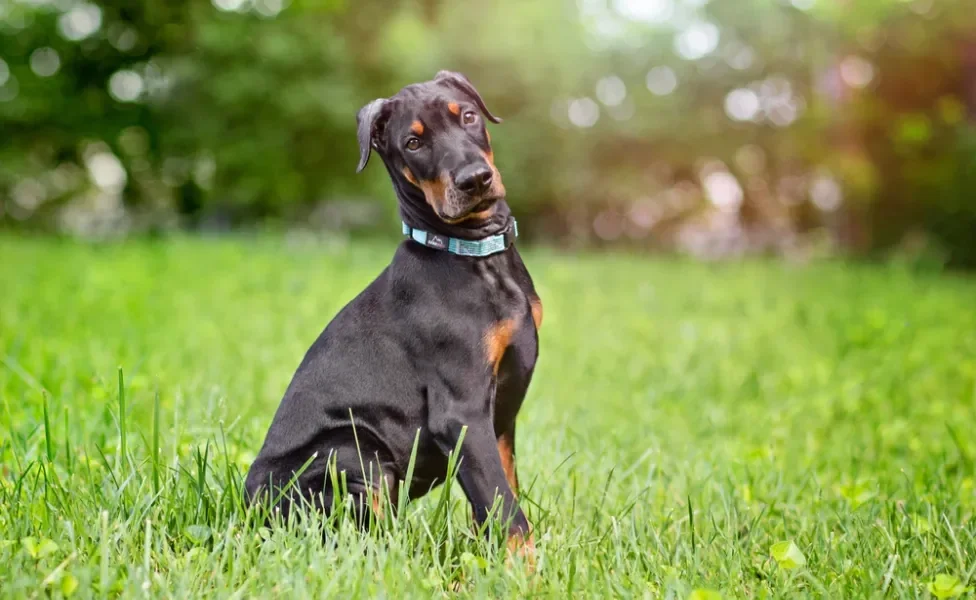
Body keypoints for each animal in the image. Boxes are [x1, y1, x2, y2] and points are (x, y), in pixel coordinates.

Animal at [246, 72, 540, 560]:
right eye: (413, 143)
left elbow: (501, 491)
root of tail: (246, 512)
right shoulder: (461, 410)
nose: (475, 180)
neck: (473, 254)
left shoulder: (501, 419)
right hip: (352, 451)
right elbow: (506, 510)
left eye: (469, 116)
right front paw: (524, 569)